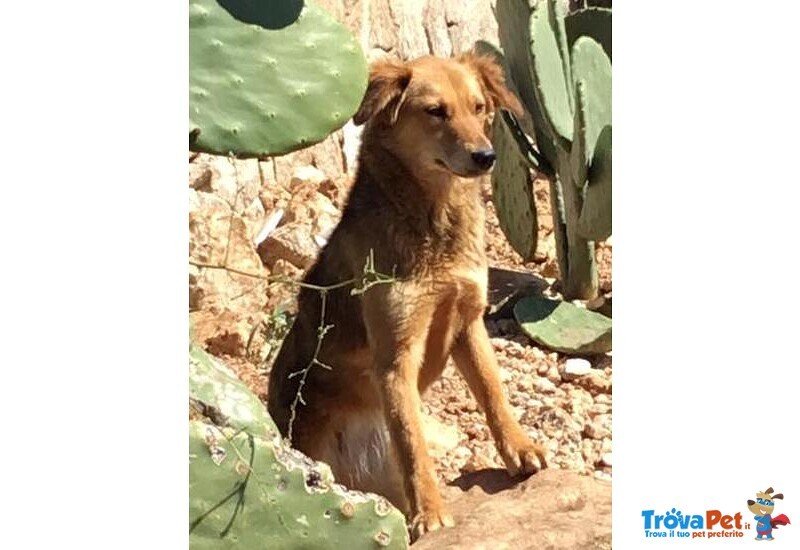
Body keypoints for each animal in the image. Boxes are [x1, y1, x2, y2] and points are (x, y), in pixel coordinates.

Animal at [266, 51, 548, 540]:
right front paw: (430, 513)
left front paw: (519, 447)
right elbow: (414, 447)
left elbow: (493, 392)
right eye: (435, 111)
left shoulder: (468, 322)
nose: (486, 156)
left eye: (479, 107)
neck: (435, 229)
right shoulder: (395, 356)